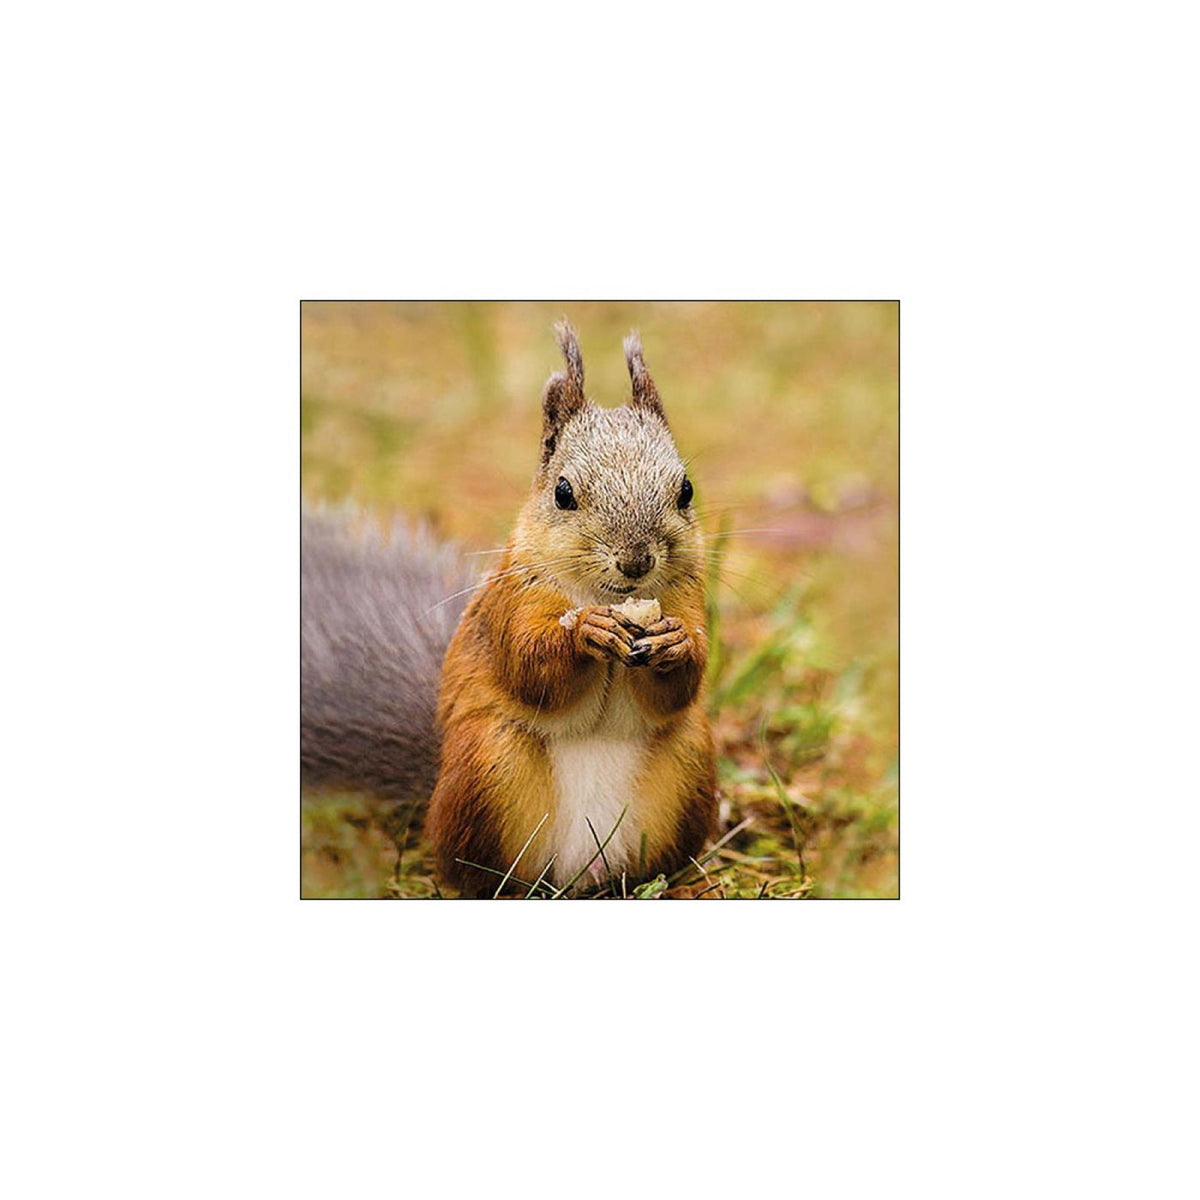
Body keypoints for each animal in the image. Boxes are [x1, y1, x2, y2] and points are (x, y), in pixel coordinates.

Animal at [302, 321, 717, 897]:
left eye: (686, 489)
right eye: (563, 492)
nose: (636, 561)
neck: (610, 597)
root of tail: (580, 872)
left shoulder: (686, 598)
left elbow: (682, 685)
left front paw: (674, 644)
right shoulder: (513, 600)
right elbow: (527, 667)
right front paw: (583, 632)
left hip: (689, 761)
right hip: (488, 765)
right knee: (474, 871)